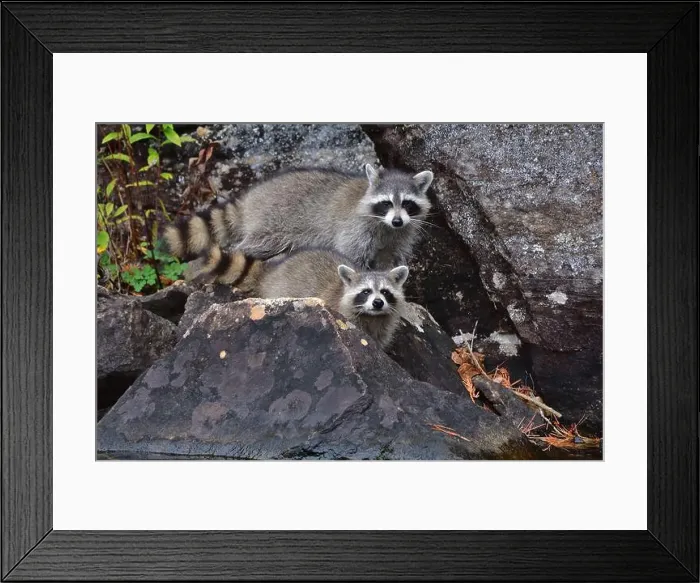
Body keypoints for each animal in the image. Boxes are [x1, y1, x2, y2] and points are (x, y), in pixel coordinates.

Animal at [164, 164, 433, 269]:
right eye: (386, 203)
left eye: (407, 204)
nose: (397, 220)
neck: (386, 227)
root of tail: (251, 199)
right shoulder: (357, 229)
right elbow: (351, 255)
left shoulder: (401, 235)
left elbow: (390, 259)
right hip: (273, 223)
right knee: (258, 244)